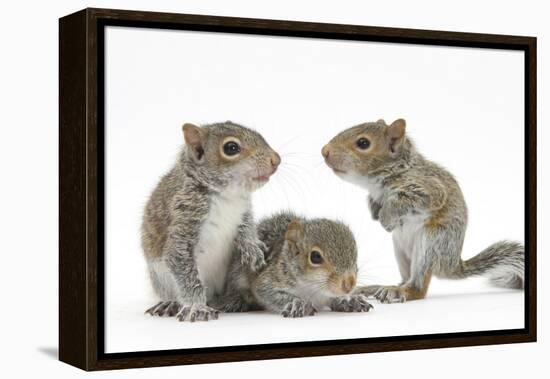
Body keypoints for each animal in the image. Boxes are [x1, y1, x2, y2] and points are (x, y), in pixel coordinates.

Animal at [142, 121, 282, 320]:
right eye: (231, 148)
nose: (276, 160)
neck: (227, 196)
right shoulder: (183, 216)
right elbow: (182, 262)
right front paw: (196, 306)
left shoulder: (244, 210)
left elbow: (247, 227)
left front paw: (252, 248)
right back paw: (171, 303)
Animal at [210, 212, 376, 316]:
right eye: (316, 257)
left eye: (355, 252)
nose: (349, 284)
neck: (313, 289)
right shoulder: (269, 280)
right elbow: (267, 293)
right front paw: (298, 304)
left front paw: (349, 300)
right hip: (238, 272)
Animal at [324, 120, 528, 304]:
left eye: (363, 143)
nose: (324, 151)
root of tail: (451, 265)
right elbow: (375, 202)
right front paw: (375, 210)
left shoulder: (429, 189)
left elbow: (405, 202)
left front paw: (386, 218)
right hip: (400, 249)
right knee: (405, 279)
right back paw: (380, 288)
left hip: (431, 243)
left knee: (418, 288)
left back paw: (399, 292)